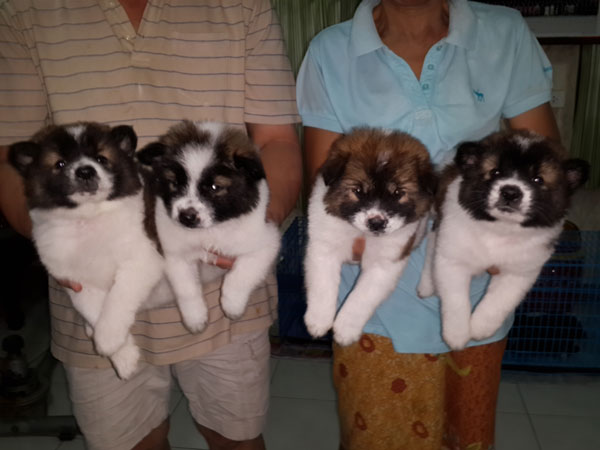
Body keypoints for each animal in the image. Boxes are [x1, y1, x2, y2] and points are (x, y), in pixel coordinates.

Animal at [9, 122, 168, 379]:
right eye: (60, 164)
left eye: (101, 159)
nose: (85, 171)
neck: (88, 216)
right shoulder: (77, 282)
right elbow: (95, 310)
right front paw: (123, 356)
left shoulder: (142, 262)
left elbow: (117, 301)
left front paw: (107, 340)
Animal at [136, 120, 281, 333]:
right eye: (174, 183)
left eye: (214, 187)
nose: (186, 217)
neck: (209, 230)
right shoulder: (174, 255)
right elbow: (187, 289)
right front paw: (195, 319)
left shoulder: (265, 243)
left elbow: (239, 277)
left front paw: (232, 305)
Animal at [303, 128, 435, 346]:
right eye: (358, 191)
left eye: (397, 193)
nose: (376, 222)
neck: (359, 232)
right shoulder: (323, 247)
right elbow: (323, 286)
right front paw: (318, 321)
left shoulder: (385, 264)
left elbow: (362, 297)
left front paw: (345, 329)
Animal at [417, 130, 590, 350]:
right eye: (495, 172)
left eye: (537, 179)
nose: (510, 192)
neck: (500, 230)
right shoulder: (453, 260)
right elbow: (456, 301)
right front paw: (457, 335)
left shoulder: (520, 273)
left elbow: (498, 302)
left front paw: (479, 328)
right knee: (432, 245)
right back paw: (427, 284)